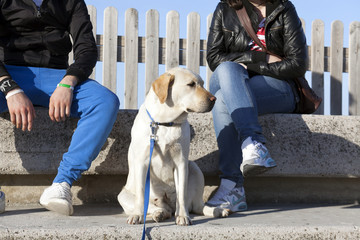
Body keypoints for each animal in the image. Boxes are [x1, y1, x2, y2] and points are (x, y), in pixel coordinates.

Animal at [119, 67, 229, 225]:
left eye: (202, 84)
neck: (165, 122)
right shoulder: (142, 162)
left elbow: (181, 194)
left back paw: (217, 210)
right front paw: (137, 215)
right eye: (191, 84)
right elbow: (140, 194)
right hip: (123, 195)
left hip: (194, 168)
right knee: (153, 207)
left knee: (197, 206)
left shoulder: (181, 162)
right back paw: (159, 213)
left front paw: (183, 216)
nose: (214, 99)